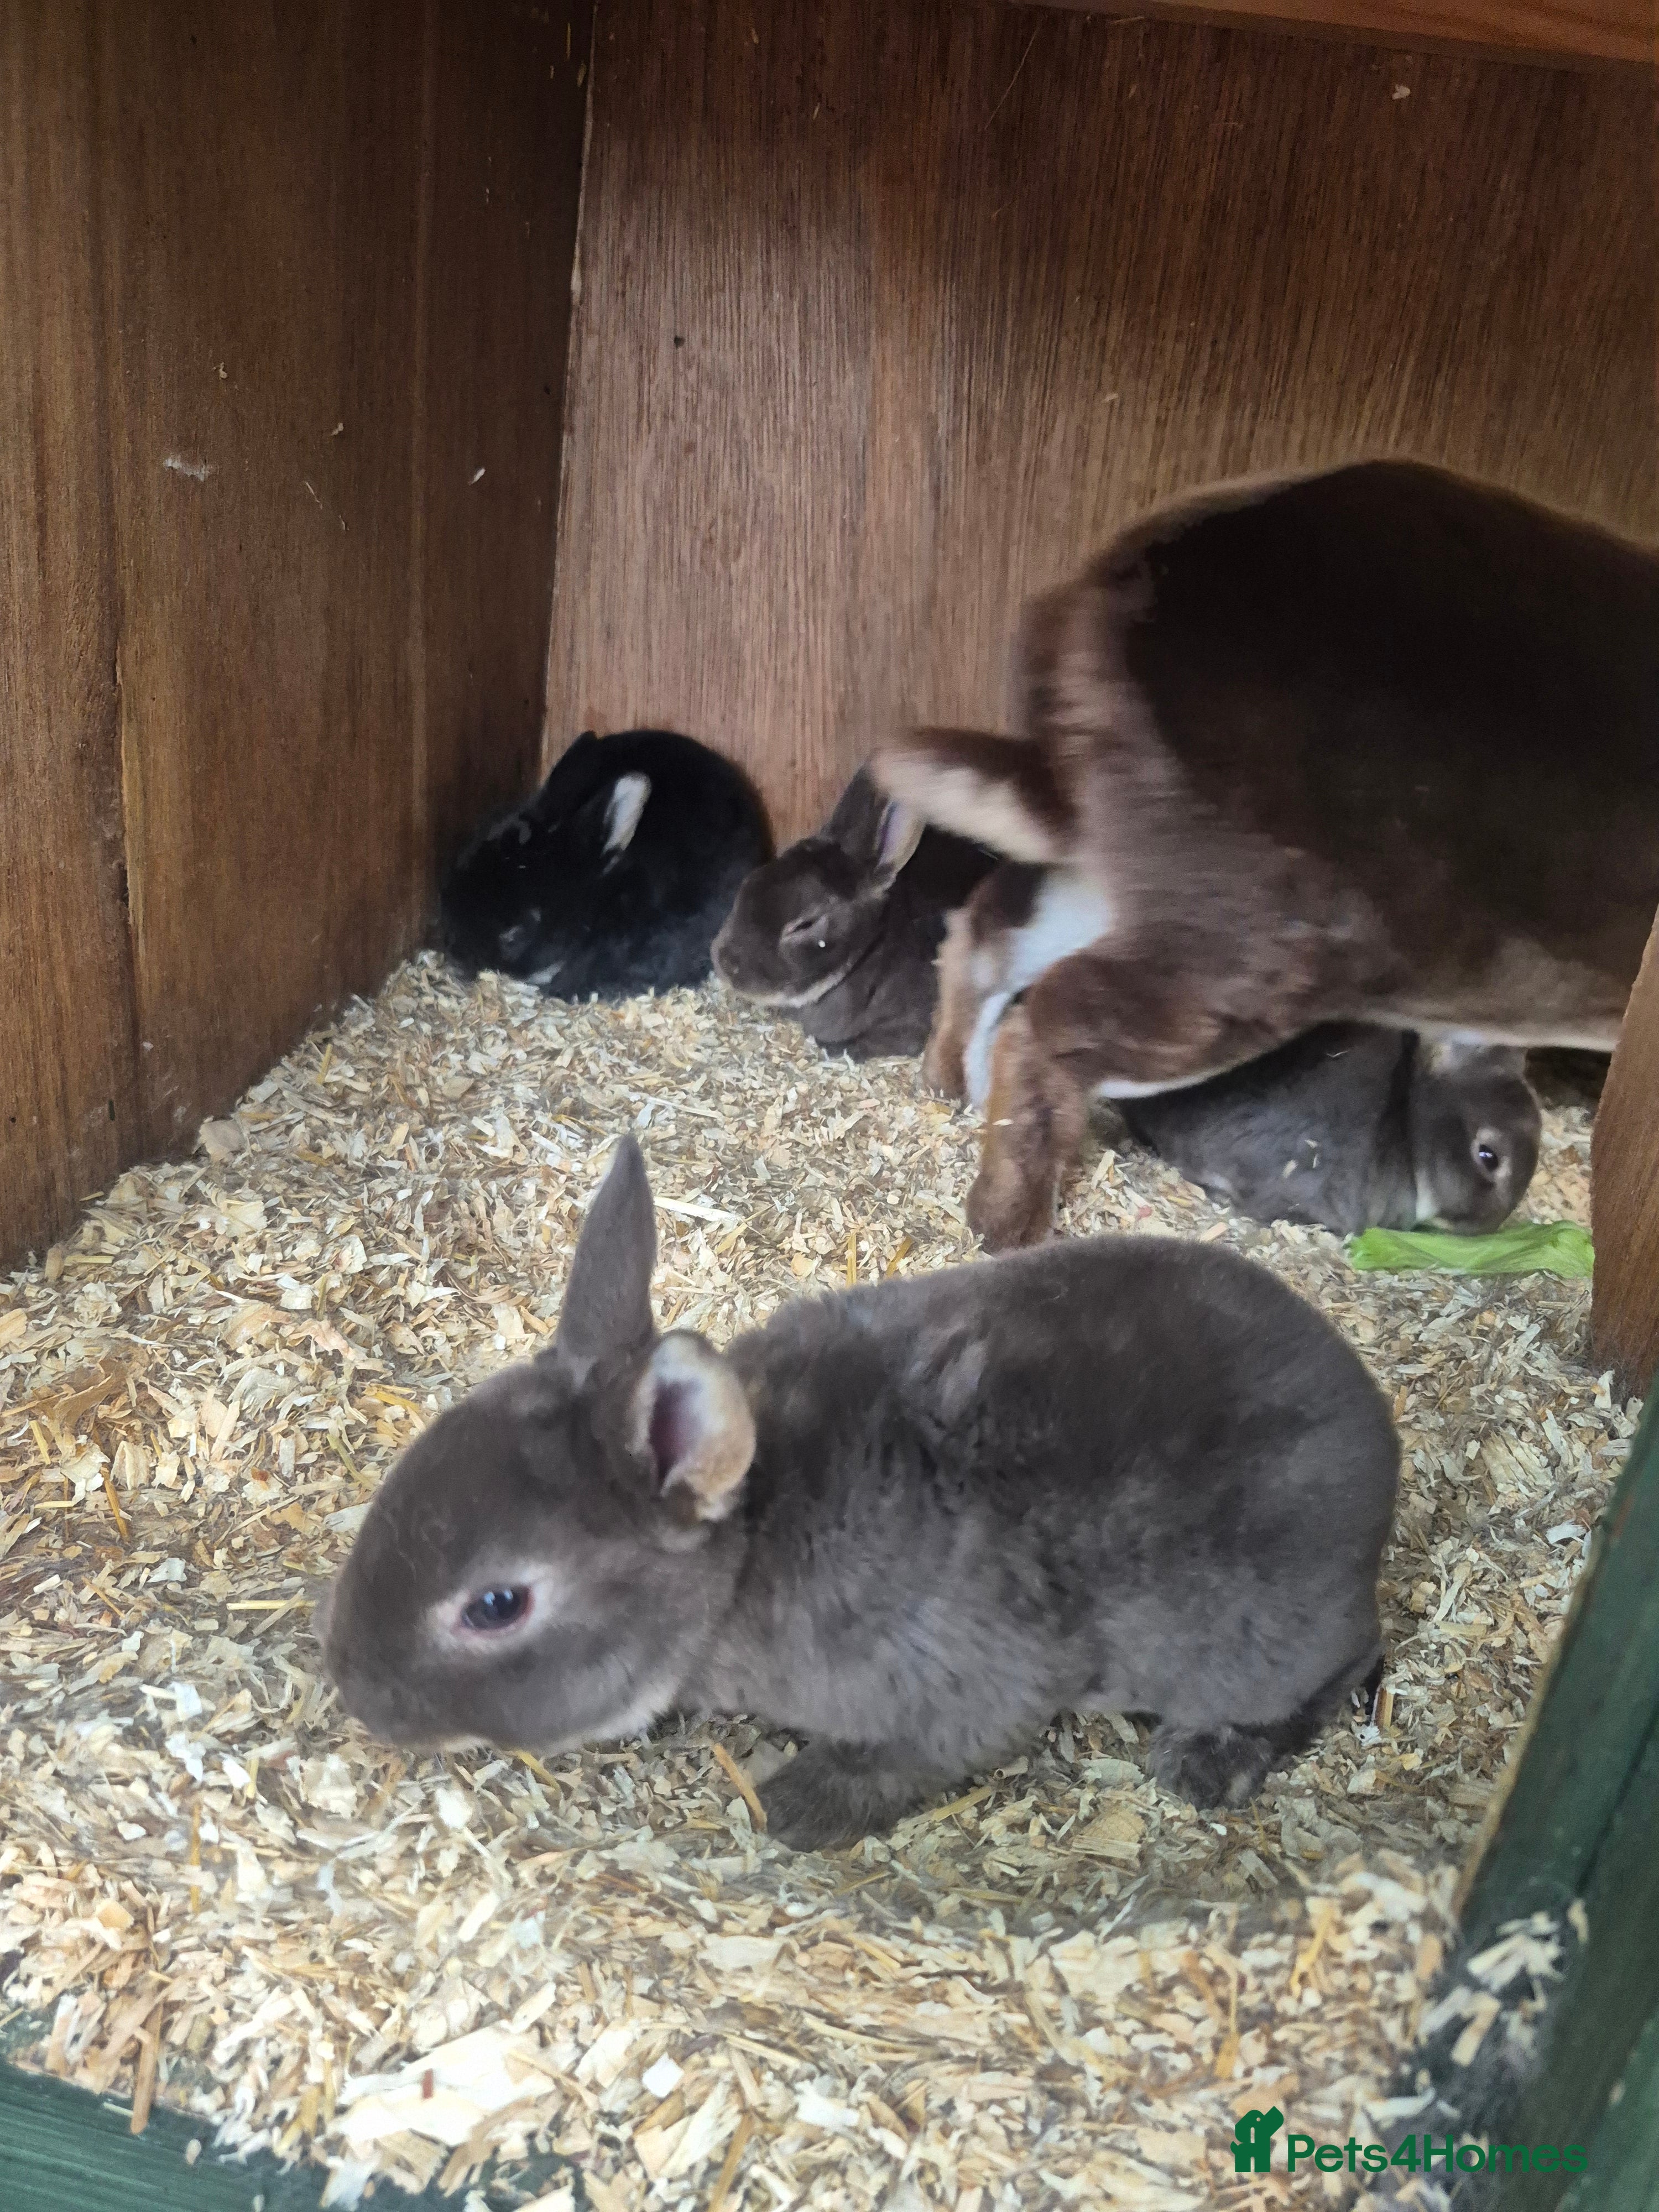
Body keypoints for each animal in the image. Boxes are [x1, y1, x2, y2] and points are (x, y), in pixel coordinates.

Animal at [318, 1133, 1400, 1852]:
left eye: (497, 1605)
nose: (358, 1696)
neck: (744, 1550)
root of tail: (1381, 1452)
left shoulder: (964, 1690)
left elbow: (908, 1759)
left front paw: (794, 1810)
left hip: (1253, 1639)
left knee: (1344, 1667)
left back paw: (1212, 1762)